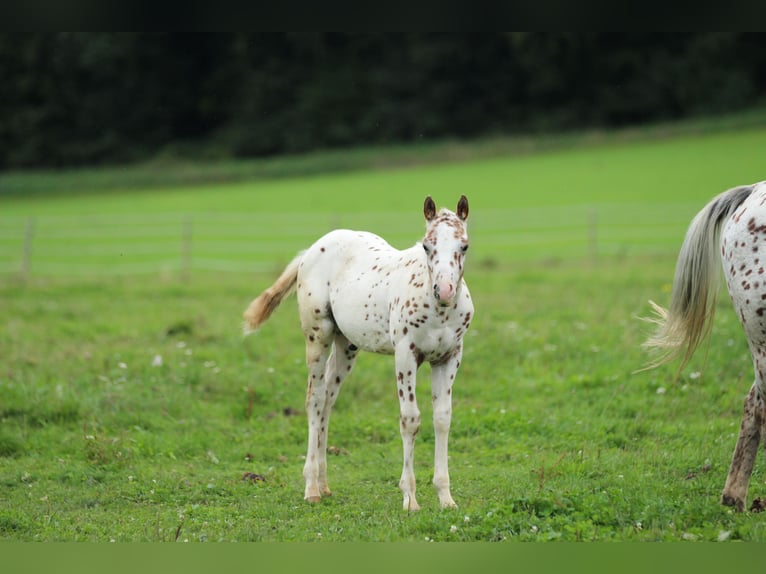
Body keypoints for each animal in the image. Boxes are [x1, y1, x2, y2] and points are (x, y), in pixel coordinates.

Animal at [243, 196, 473, 511]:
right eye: (427, 246)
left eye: (464, 246)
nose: (446, 290)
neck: (437, 310)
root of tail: (311, 250)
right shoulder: (405, 355)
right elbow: (410, 419)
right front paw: (410, 499)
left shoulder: (450, 357)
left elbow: (442, 419)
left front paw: (446, 498)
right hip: (318, 336)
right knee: (315, 398)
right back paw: (311, 488)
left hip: (346, 345)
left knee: (328, 398)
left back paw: (324, 484)